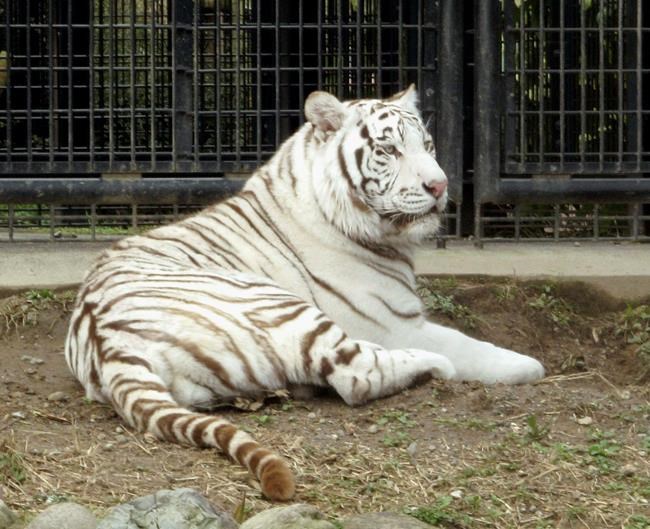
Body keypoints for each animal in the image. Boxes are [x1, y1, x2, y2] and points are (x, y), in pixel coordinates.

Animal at [65, 86, 544, 501]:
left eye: (427, 145)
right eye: (389, 150)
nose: (440, 186)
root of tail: (108, 343)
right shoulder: (395, 324)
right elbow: (467, 345)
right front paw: (527, 364)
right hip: (282, 306)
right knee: (357, 374)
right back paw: (430, 366)